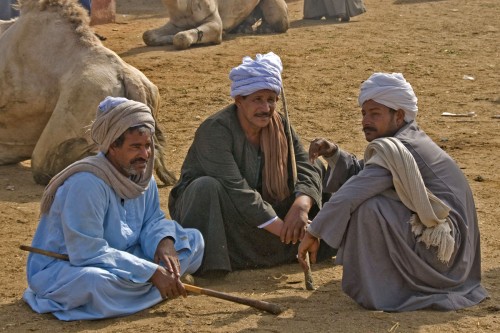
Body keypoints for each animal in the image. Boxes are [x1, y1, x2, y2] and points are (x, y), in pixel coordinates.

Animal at [142, 0, 290, 49]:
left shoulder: (214, 23)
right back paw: (242, 29)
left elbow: (181, 37)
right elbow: (147, 35)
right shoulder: (177, 23)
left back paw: (264, 29)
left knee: (279, 20)